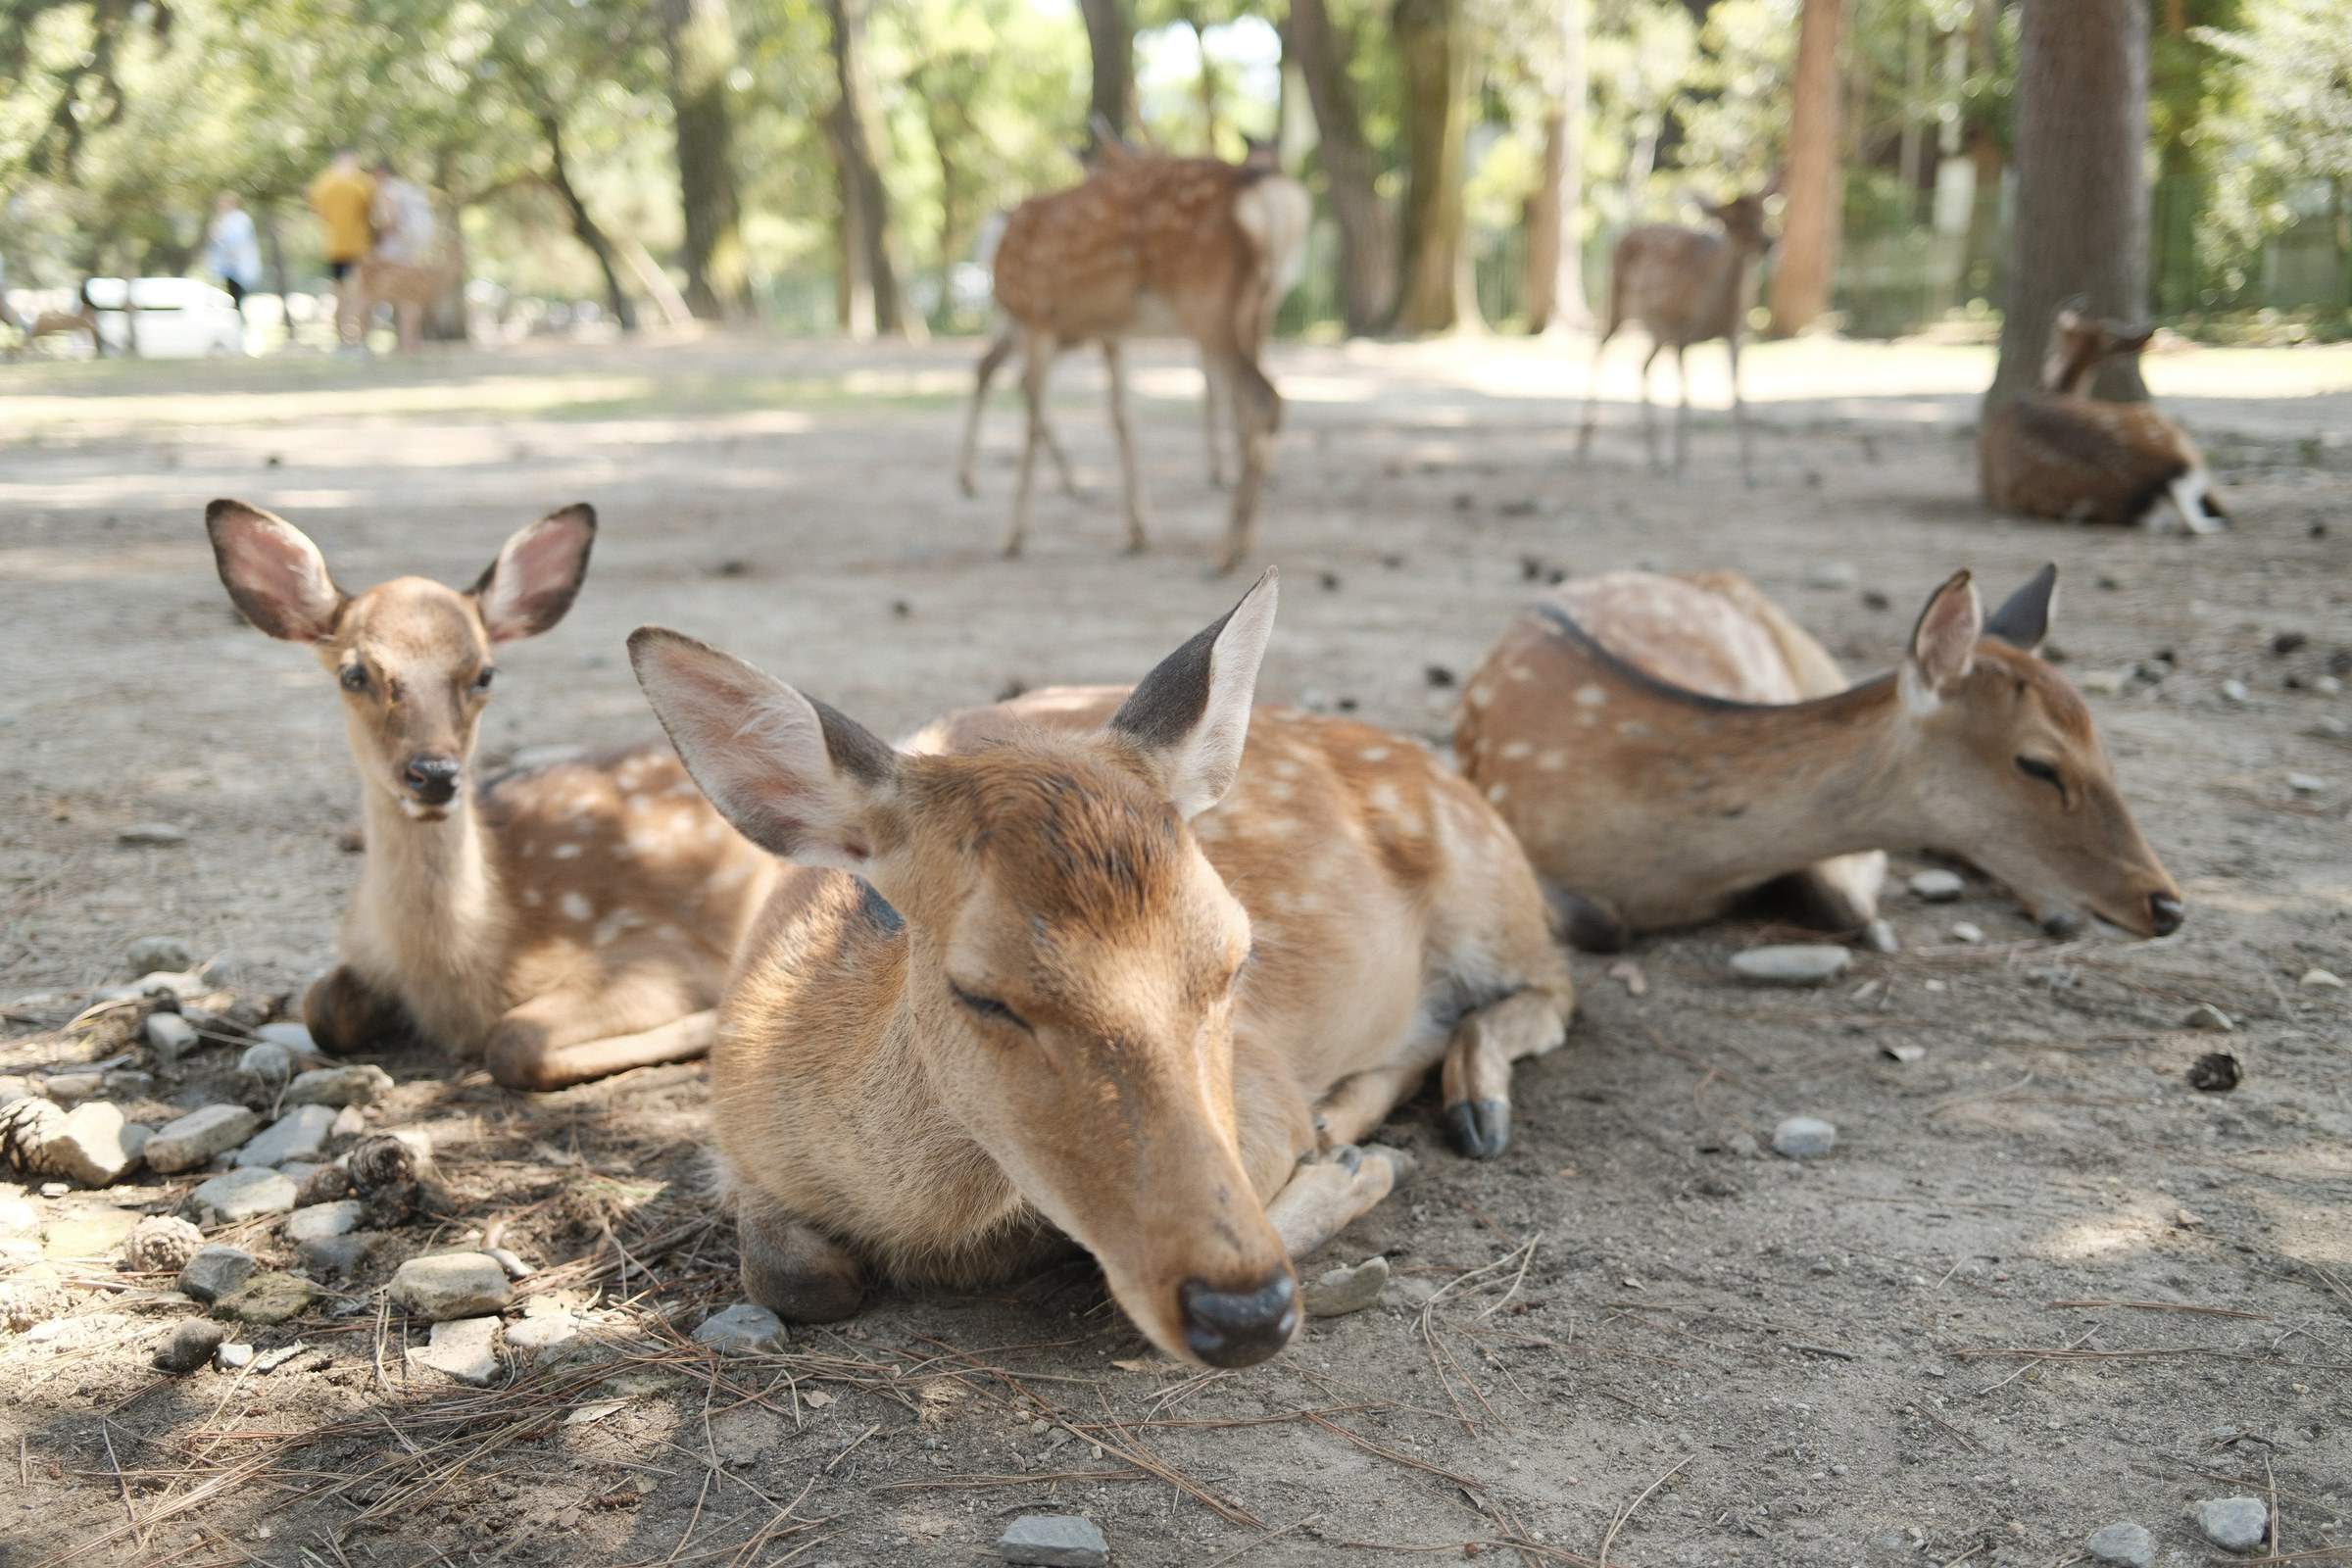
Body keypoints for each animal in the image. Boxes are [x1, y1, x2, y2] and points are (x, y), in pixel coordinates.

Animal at [204, 500, 777, 1091]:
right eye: (354, 673)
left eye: (484, 673)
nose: (434, 774)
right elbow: (320, 1006)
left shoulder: (667, 949)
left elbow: (514, 1038)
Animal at [630, 570, 1576, 1367]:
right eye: (982, 991)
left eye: (1236, 958)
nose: (1246, 1314)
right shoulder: (733, 1141)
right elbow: (790, 1275)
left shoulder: (1258, 1090)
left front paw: (1356, 1168)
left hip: (1495, 895)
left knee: (1554, 991)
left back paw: (1451, 1116)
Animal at [954, 143, 1310, 573]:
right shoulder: (1107, 332)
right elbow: (1121, 417)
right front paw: (1138, 531)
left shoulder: (1037, 316)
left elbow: (1033, 425)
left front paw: (1014, 536)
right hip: (1254, 312)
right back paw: (1239, 542)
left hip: (1205, 301)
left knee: (1260, 400)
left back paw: (1226, 550)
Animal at [1575, 191, 1774, 484]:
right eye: (1729, 221)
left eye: (1763, 213)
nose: (1768, 243)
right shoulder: (1682, 332)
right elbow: (1684, 397)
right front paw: (1680, 464)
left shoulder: (1734, 333)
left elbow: (1738, 395)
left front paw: (1750, 470)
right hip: (1618, 306)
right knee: (1600, 346)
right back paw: (1583, 446)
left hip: (1657, 333)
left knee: (1642, 365)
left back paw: (1654, 457)